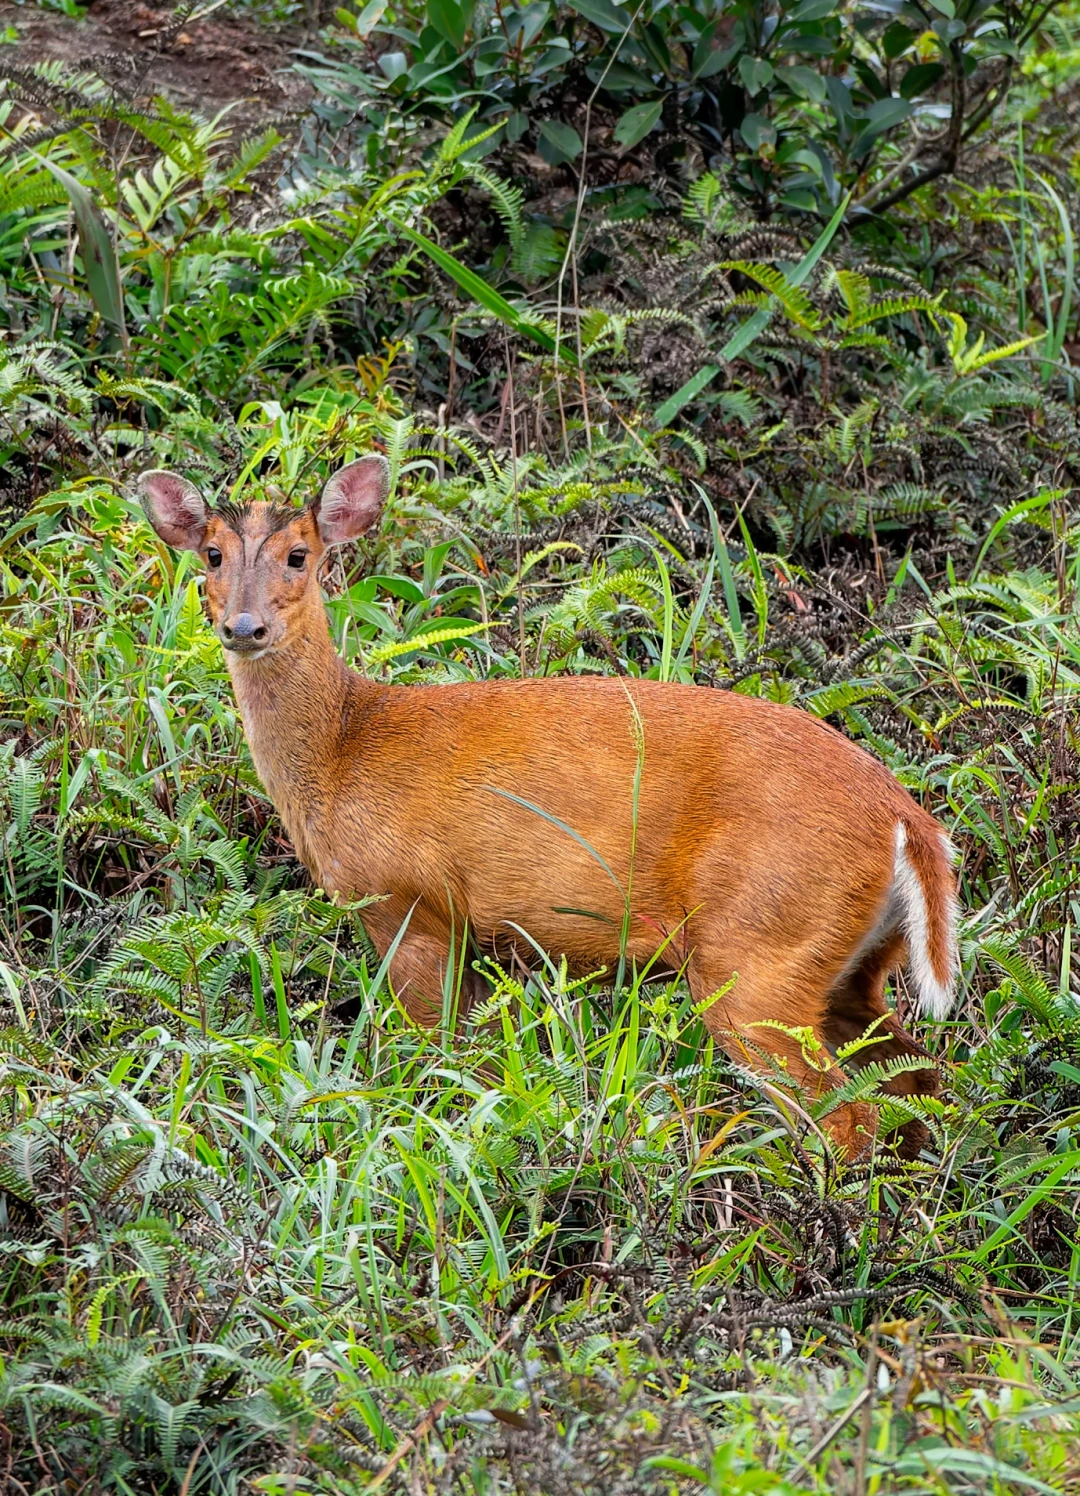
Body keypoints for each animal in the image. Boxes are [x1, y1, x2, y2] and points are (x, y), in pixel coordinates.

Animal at [138, 455, 959, 1160]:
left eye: (299, 555)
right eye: (211, 555)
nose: (244, 628)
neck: (345, 748)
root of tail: (905, 819)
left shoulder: (409, 904)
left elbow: (441, 1059)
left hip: (759, 947)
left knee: (848, 1114)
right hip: (848, 961)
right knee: (918, 1078)